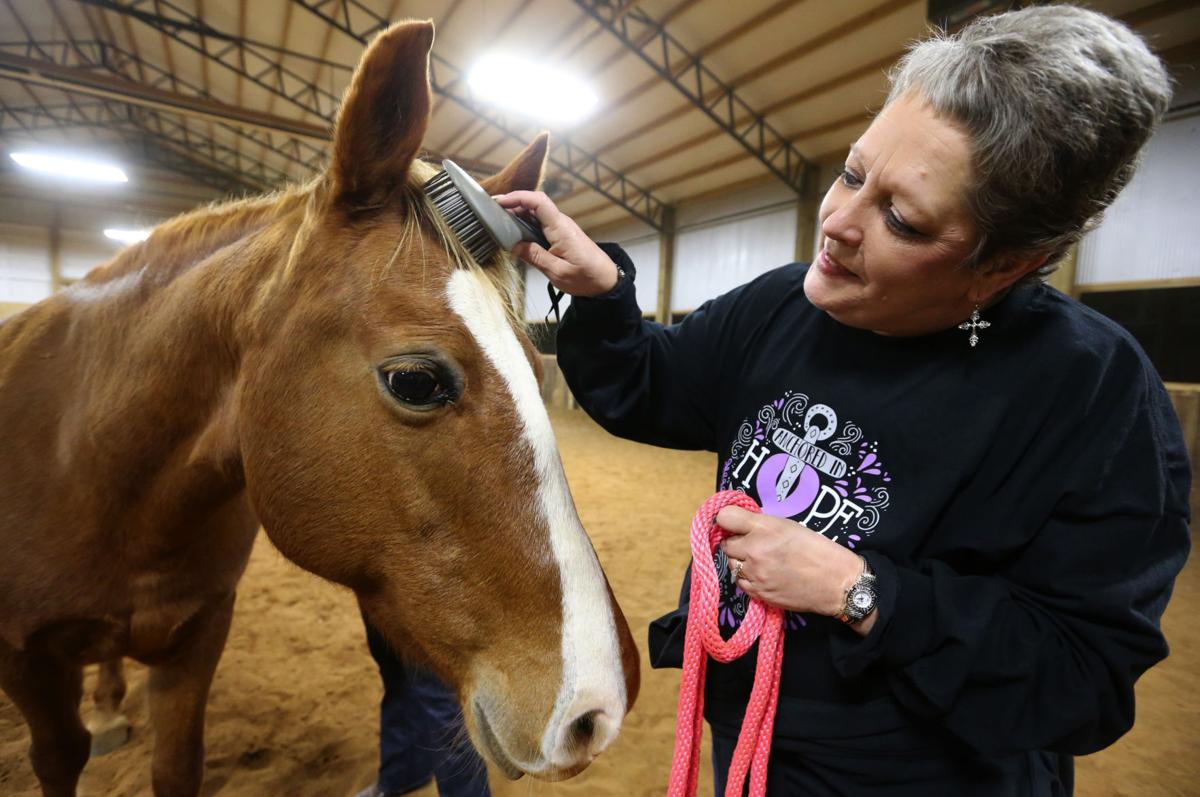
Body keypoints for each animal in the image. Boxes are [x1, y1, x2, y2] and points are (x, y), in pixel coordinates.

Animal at [0, 19, 639, 797]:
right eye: (415, 381)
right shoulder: (25, 659)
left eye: (536, 360)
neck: (89, 459)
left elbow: (177, 766)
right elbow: (58, 756)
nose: (597, 710)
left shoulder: (195, 641)